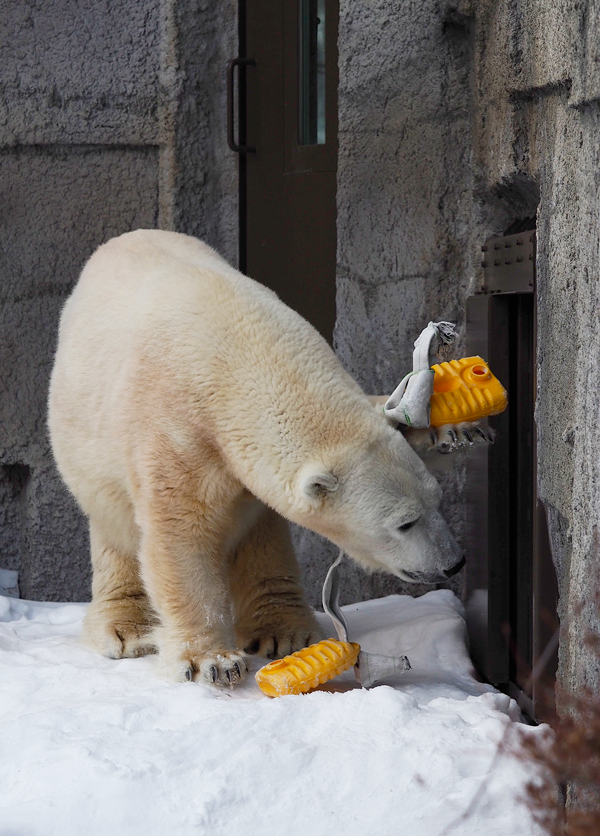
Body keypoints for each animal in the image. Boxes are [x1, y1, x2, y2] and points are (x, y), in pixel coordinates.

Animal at [49, 229, 466, 684]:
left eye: (437, 500)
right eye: (404, 523)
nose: (453, 563)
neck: (237, 348)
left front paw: (449, 428)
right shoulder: (176, 429)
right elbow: (182, 530)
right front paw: (213, 661)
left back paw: (282, 631)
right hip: (89, 448)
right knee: (119, 530)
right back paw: (126, 628)